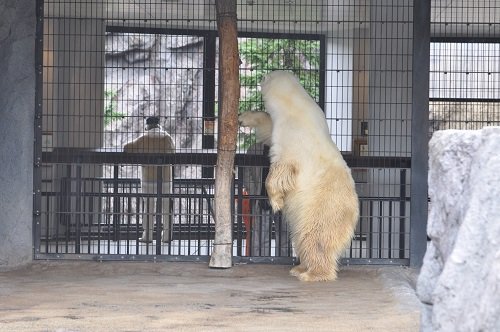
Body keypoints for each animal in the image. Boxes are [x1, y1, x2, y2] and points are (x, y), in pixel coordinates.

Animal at [262, 71, 360, 282]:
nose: (262, 79)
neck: (295, 104)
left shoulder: (292, 136)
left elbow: (281, 168)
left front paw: (276, 202)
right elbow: (268, 131)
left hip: (322, 208)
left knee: (315, 238)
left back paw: (311, 273)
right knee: (301, 237)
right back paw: (299, 267)